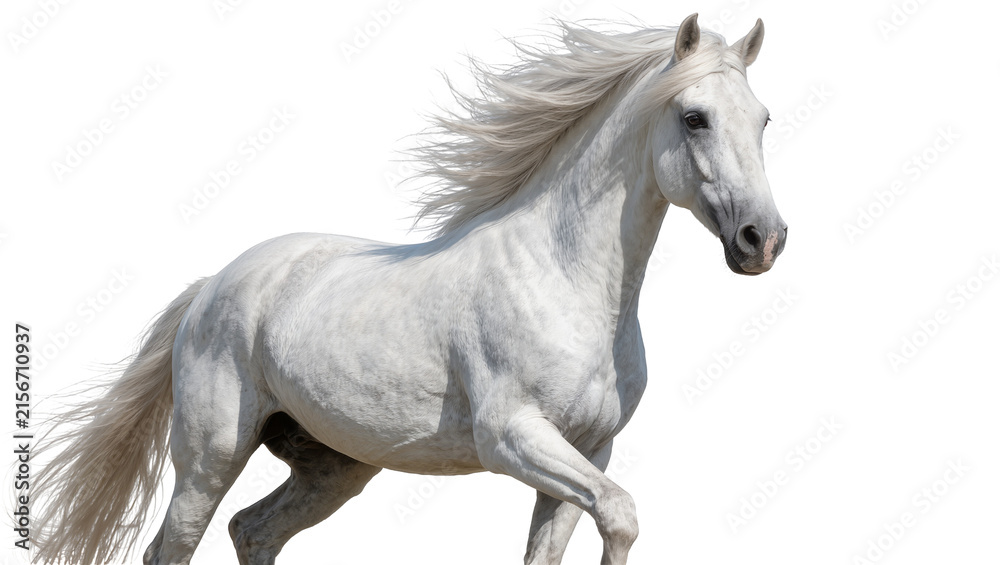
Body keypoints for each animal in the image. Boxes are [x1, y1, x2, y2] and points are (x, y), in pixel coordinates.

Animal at [34, 13, 785, 565]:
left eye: (764, 119)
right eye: (694, 117)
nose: (763, 240)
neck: (563, 278)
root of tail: (212, 285)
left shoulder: (587, 451)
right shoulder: (512, 438)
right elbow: (623, 514)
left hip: (333, 467)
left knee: (253, 530)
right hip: (209, 457)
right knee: (174, 545)